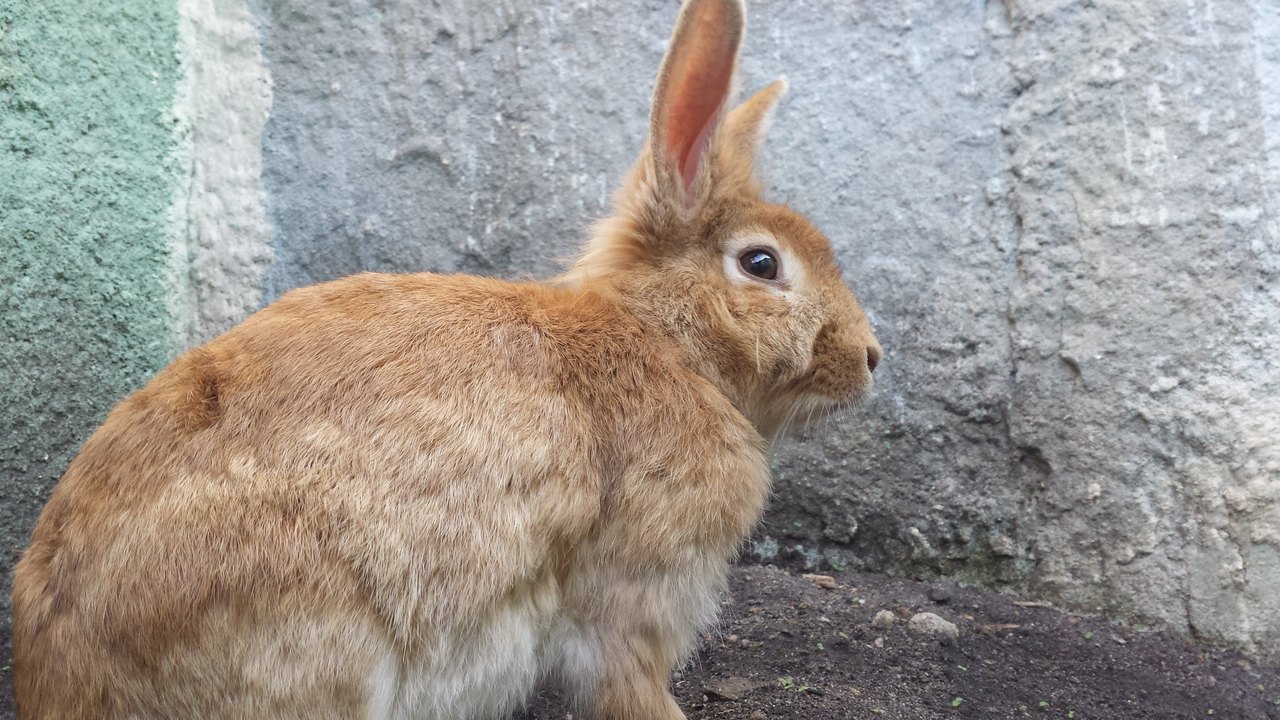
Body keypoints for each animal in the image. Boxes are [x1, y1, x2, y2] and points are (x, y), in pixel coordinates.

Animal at [11, 0, 881, 718]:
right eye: (761, 264)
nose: (871, 357)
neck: (667, 339)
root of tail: (63, 684)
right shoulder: (636, 596)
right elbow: (626, 685)